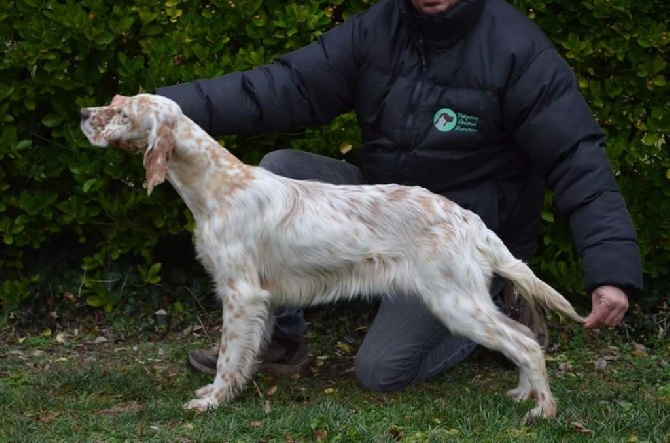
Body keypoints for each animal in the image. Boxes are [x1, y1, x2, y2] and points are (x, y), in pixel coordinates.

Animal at [79, 93, 584, 420]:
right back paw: (523, 393)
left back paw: (543, 409)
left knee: (525, 344)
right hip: (465, 301)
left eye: (121, 112)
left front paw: (212, 401)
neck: (218, 185)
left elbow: (228, 357)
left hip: (456, 303)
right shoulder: (257, 298)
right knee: (525, 337)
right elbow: (244, 353)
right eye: (116, 100)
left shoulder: (240, 294)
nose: (83, 112)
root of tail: (470, 221)